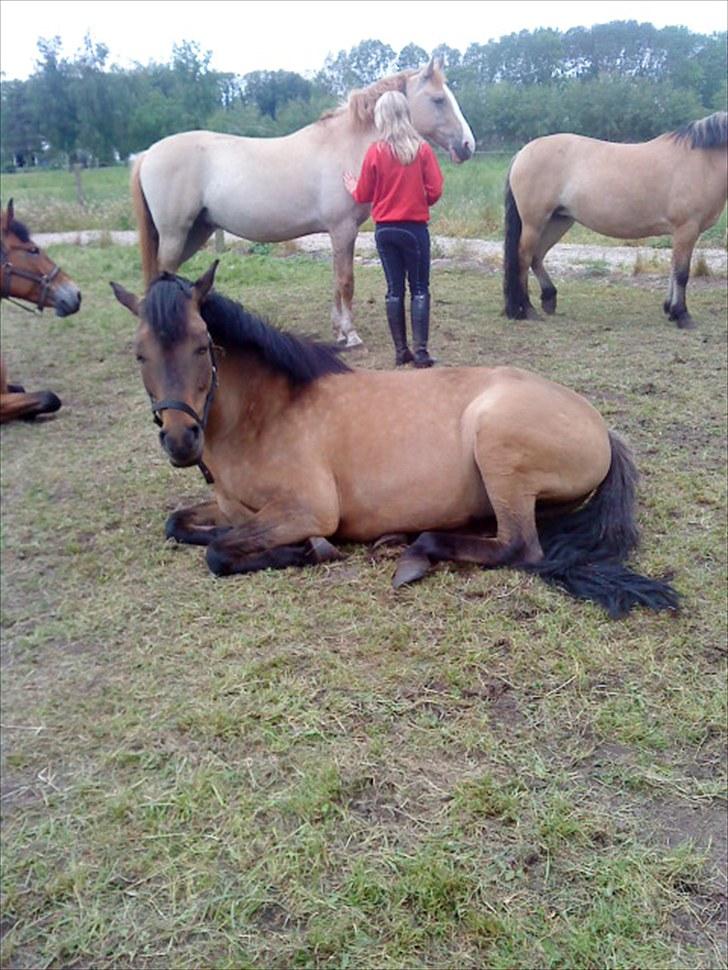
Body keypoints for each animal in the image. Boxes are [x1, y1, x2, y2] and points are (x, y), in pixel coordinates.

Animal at [111, 260, 680, 616]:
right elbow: (180, 525)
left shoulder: (308, 509)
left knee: (521, 547)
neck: (268, 413)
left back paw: (415, 551)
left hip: (496, 445)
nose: (181, 440)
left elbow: (219, 552)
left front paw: (307, 551)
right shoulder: (230, 507)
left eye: (202, 344)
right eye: (139, 354)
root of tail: (600, 425)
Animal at [130, 55, 474, 344]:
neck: (344, 145)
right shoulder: (343, 229)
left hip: (196, 232)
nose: (468, 145)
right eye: (439, 99)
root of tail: (147, 154)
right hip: (176, 234)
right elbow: (346, 280)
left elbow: (336, 280)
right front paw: (350, 334)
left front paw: (338, 330)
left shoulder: (338, 233)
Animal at [506, 111, 728, 328]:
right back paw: (527, 309)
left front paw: (671, 311)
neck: (702, 162)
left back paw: (548, 299)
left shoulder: (679, 232)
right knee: (524, 258)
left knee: (536, 257)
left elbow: (673, 269)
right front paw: (682, 315)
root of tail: (522, 153)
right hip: (534, 223)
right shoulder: (686, 229)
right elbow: (681, 273)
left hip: (558, 221)